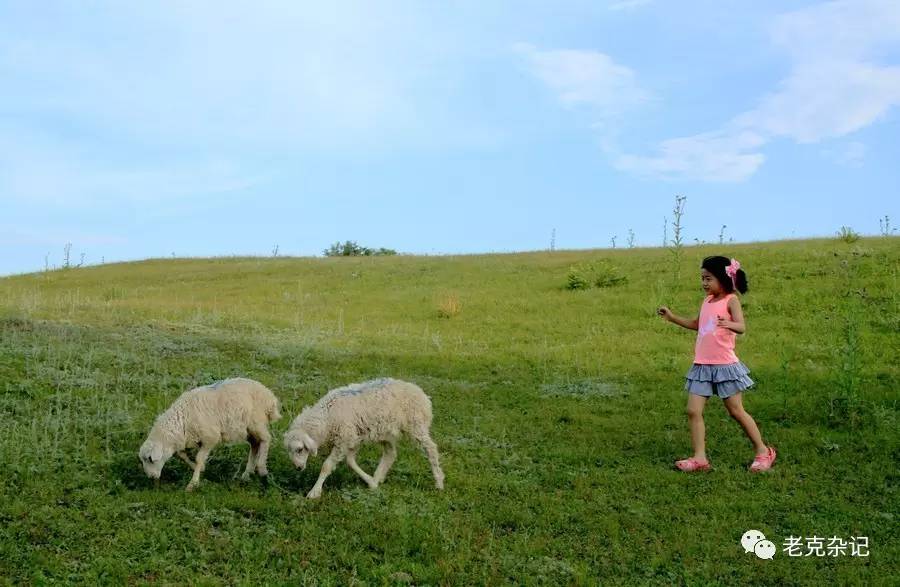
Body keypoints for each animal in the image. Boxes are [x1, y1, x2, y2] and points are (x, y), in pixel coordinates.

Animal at [140, 376, 282, 492]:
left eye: (150, 459)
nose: (151, 477)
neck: (182, 420)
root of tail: (269, 396)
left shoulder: (210, 438)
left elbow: (198, 458)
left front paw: (193, 484)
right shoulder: (189, 439)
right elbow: (182, 455)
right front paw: (198, 468)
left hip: (256, 422)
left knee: (266, 439)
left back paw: (262, 468)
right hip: (247, 429)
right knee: (255, 444)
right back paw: (247, 474)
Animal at [284, 378, 442, 498]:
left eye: (300, 449)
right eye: (290, 451)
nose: (298, 468)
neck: (326, 418)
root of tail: (422, 394)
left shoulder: (344, 439)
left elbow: (326, 466)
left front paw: (314, 491)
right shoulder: (353, 438)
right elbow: (350, 462)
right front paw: (371, 482)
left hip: (416, 425)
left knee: (431, 449)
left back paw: (439, 482)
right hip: (385, 431)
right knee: (390, 454)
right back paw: (378, 477)